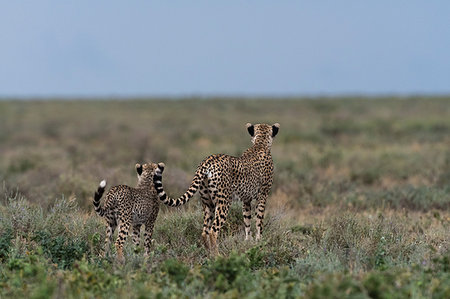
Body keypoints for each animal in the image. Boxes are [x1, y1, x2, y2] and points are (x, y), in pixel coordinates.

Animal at [154, 123, 278, 254]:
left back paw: (209, 254)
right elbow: (259, 221)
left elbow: (247, 221)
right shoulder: (262, 196)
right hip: (224, 202)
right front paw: (259, 242)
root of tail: (207, 161)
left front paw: (248, 242)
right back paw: (218, 255)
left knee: (205, 231)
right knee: (213, 231)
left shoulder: (246, 200)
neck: (260, 144)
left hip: (208, 202)